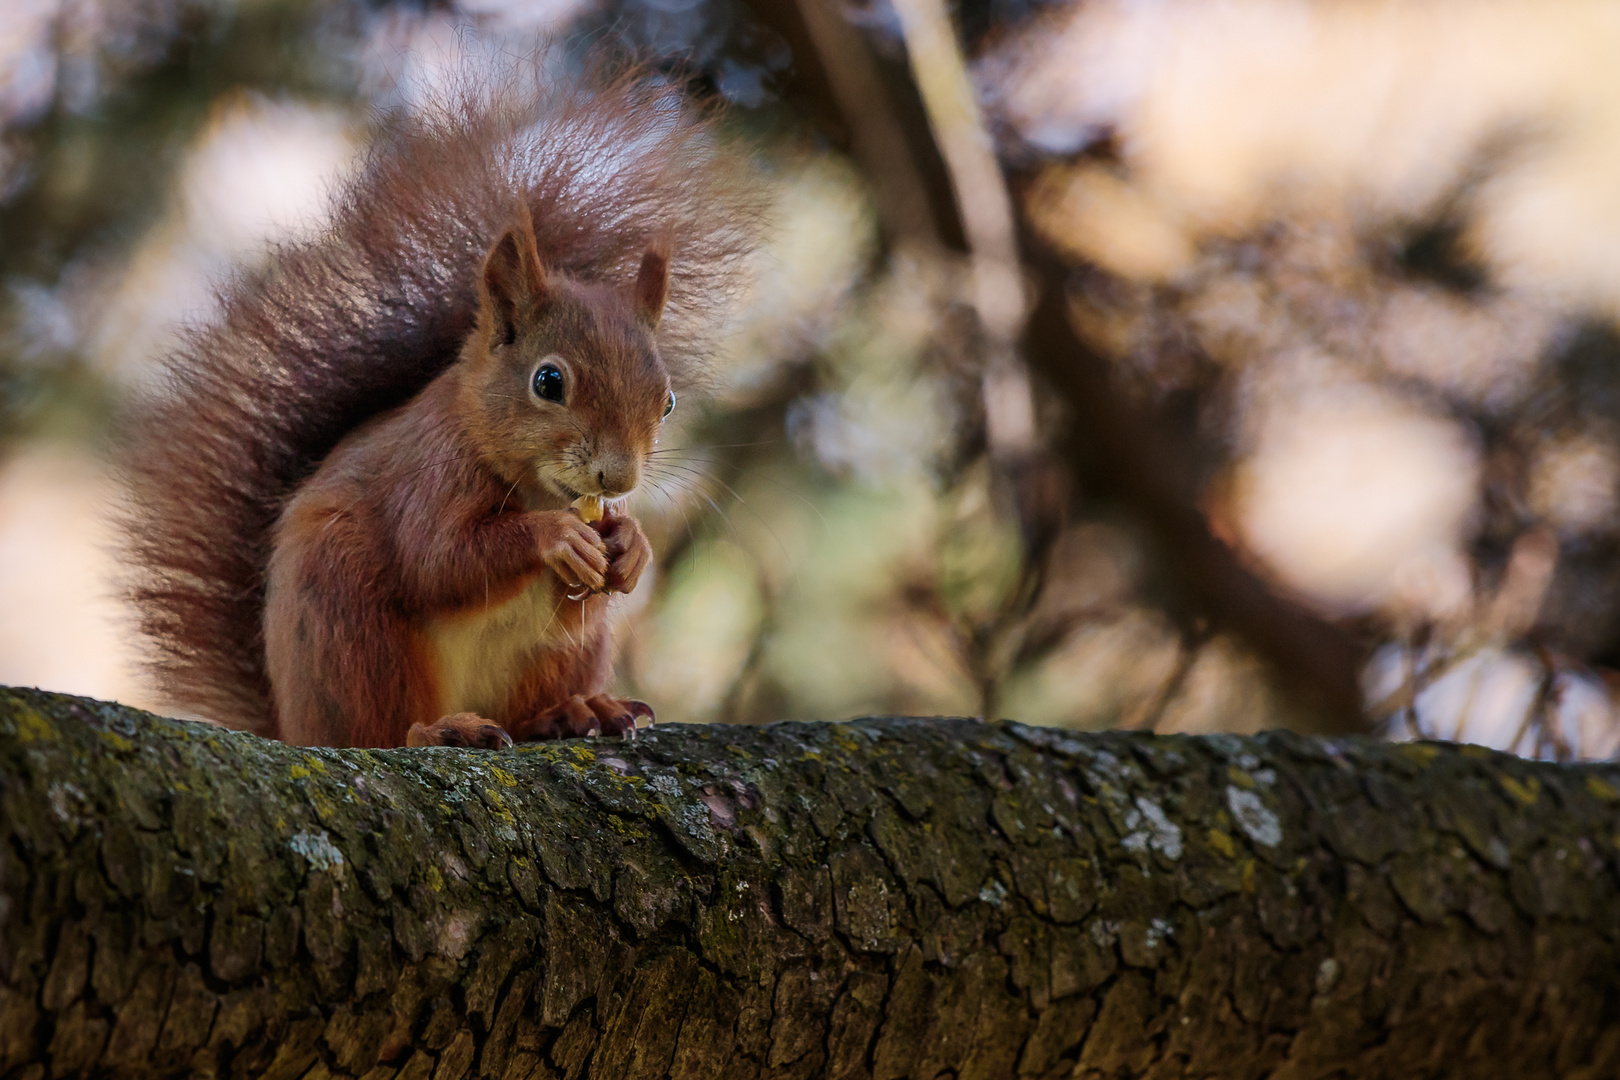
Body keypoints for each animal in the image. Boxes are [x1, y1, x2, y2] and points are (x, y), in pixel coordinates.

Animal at [119, 65, 764, 744]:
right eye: (548, 382)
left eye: (667, 403)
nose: (618, 477)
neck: (531, 485)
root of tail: (294, 724)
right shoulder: (429, 473)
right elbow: (439, 558)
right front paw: (557, 536)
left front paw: (631, 545)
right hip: (348, 618)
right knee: (378, 729)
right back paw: (440, 730)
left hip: (557, 657)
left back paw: (575, 710)